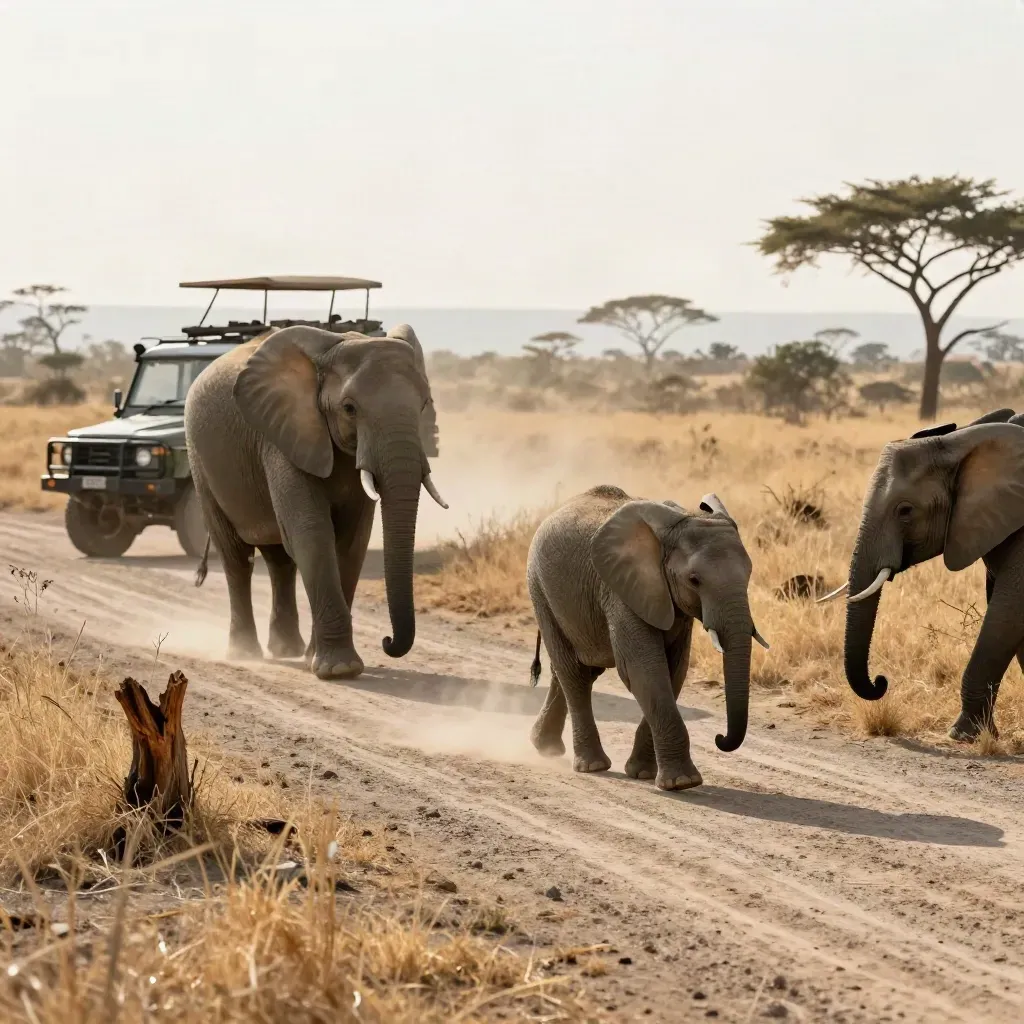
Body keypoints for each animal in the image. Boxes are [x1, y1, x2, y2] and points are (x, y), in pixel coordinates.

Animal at [184, 323, 446, 679]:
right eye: (349, 408)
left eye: (424, 405)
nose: (387, 641)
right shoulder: (281, 435)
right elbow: (311, 531)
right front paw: (340, 670)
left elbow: (351, 541)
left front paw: (320, 662)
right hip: (200, 461)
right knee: (236, 557)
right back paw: (245, 654)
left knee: (279, 561)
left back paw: (287, 650)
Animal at [526, 485, 768, 791]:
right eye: (694, 580)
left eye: (749, 573)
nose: (719, 739)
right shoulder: (621, 590)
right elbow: (643, 669)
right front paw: (682, 783)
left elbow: (675, 669)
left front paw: (642, 773)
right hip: (540, 589)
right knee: (574, 674)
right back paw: (592, 766)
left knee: (573, 671)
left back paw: (546, 748)